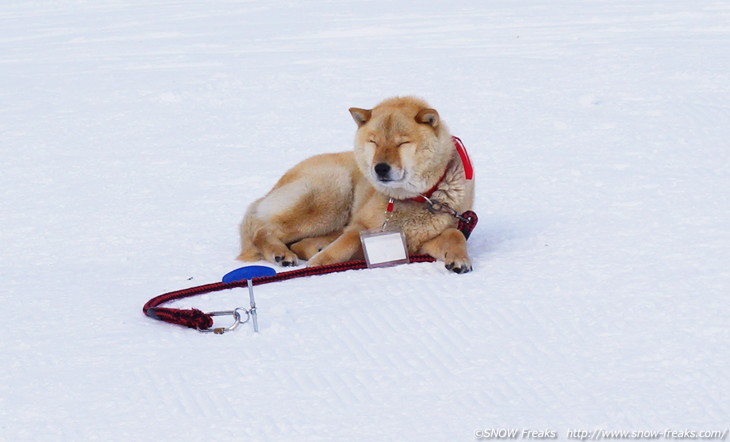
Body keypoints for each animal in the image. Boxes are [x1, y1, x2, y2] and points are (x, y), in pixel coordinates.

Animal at [237, 96, 472, 272]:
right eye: (374, 142)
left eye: (402, 143)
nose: (380, 168)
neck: (413, 199)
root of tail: (272, 190)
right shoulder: (360, 225)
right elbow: (345, 243)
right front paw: (317, 265)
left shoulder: (426, 240)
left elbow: (455, 234)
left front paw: (460, 259)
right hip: (332, 197)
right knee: (263, 231)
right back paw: (282, 254)